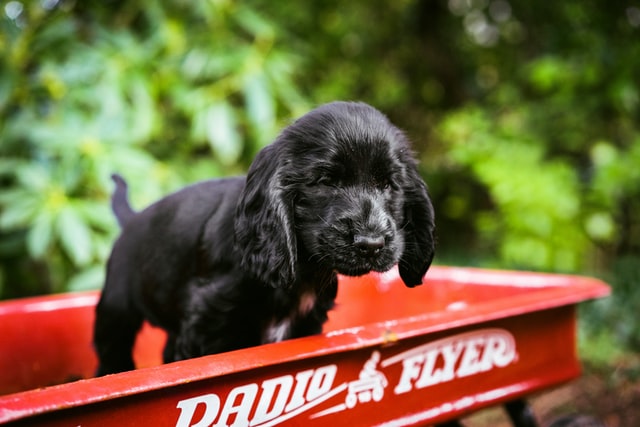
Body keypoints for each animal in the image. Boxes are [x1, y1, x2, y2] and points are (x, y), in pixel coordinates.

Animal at [94, 102, 436, 376]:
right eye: (325, 181)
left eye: (389, 185)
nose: (371, 244)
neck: (302, 273)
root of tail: (133, 218)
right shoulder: (207, 322)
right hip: (115, 310)